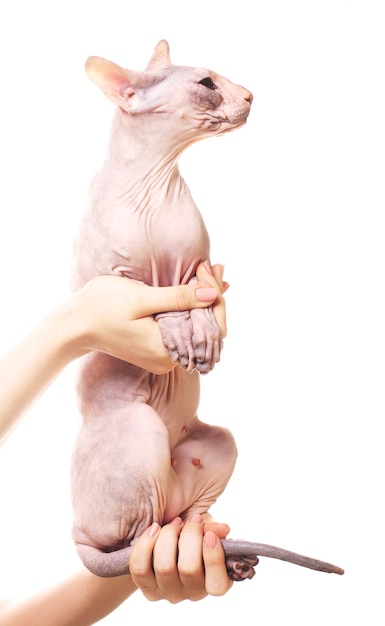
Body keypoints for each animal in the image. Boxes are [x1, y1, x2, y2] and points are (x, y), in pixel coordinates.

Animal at [69, 40, 342, 580]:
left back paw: (216, 551)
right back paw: (174, 547)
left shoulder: (201, 266)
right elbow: (159, 307)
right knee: (143, 536)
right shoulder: (111, 281)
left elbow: (201, 294)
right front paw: (179, 335)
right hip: (141, 430)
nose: (251, 95)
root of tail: (78, 535)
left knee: (182, 518)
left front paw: (205, 337)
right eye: (207, 83)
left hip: (219, 443)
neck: (153, 183)